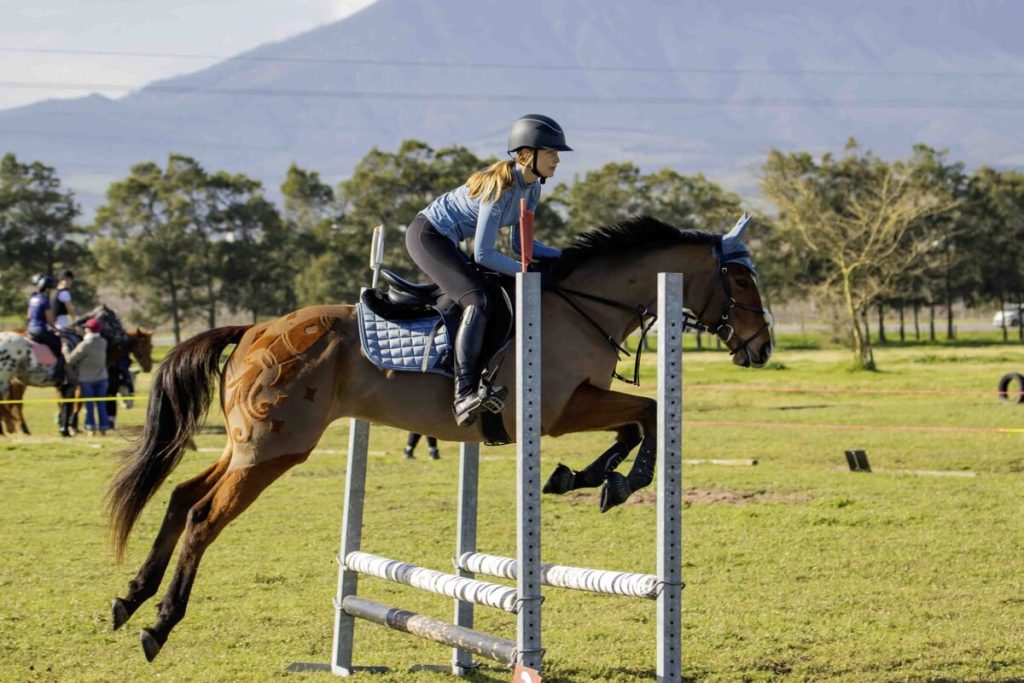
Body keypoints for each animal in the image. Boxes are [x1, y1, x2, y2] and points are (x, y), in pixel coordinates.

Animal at [0, 306, 154, 435]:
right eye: (115, 323)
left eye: (150, 346)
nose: (148, 366)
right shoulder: (74, 384)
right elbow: (72, 404)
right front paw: (68, 429)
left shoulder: (67, 386)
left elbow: (67, 404)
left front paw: (68, 427)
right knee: (13, 404)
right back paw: (13, 426)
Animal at [106, 215, 774, 661]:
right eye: (741, 280)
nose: (762, 347)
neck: (581, 306)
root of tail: (255, 329)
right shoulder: (560, 410)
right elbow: (649, 412)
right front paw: (616, 481)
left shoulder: (577, 404)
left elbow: (637, 420)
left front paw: (581, 478)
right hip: (275, 450)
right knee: (203, 516)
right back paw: (158, 624)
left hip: (248, 446)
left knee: (180, 496)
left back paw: (130, 598)